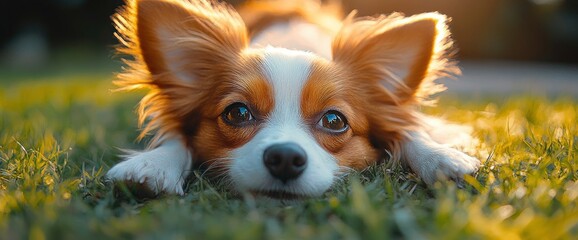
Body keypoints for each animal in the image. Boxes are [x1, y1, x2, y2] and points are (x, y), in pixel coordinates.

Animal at [106, 0, 480, 199]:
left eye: (334, 121)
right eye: (237, 113)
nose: (285, 157)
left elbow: (410, 131)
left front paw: (441, 157)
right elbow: (175, 138)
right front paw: (153, 163)